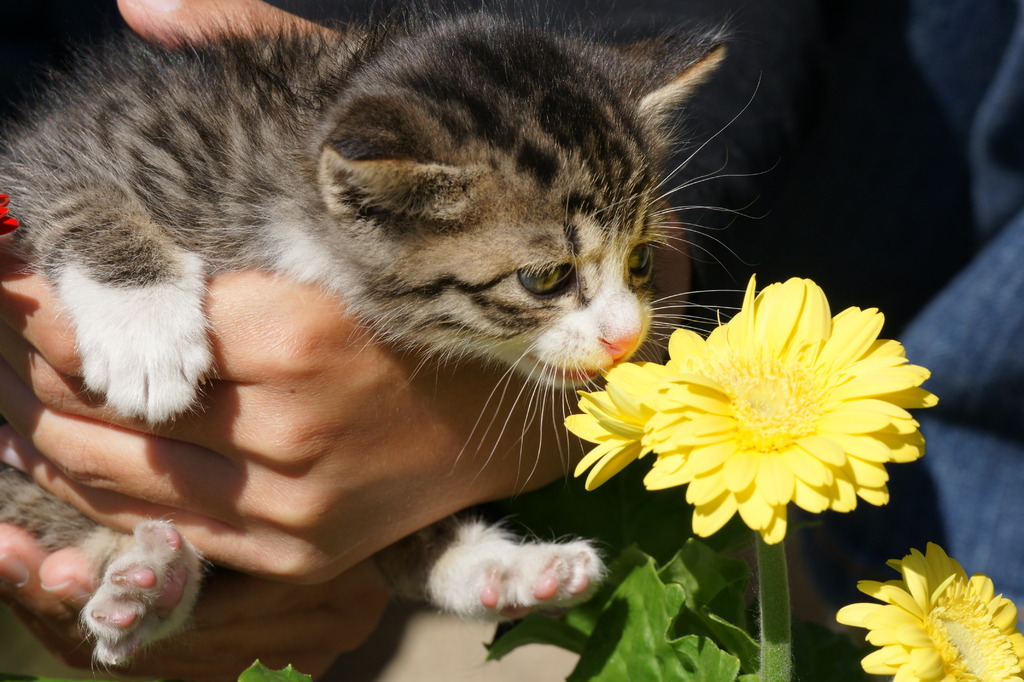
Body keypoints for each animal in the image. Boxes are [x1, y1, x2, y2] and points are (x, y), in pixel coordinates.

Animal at [0, 11, 720, 663]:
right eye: (546, 278)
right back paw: (147, 581)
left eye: (642, 261)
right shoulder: (61, 144)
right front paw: (142, 329)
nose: (626, 338)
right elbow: (74, 191)